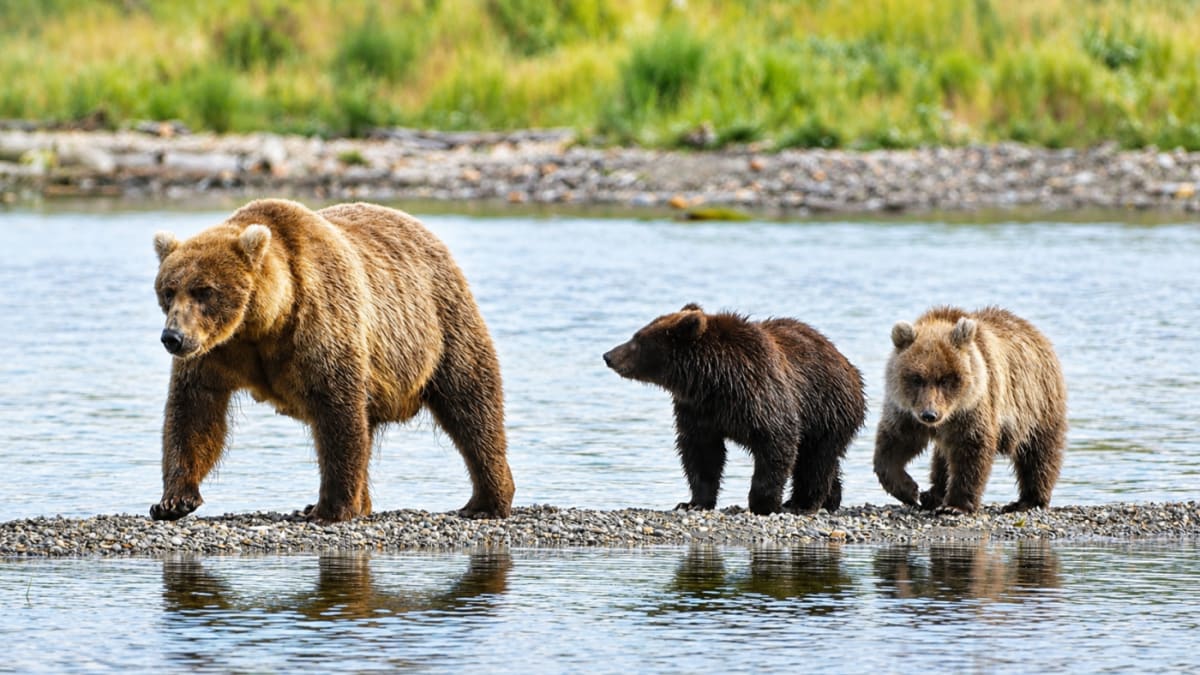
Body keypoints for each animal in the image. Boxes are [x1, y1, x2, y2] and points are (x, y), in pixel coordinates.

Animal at [150, 198, 514, 523]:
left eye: (204, 290)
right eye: (168, 290)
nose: (172, 337)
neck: (264, 323)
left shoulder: (320, 323)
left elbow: (337, 412)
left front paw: (331, 509)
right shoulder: (215, 353)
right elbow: (194, 412)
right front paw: (173, 501)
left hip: (439, 323)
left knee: (470, 403)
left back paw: (485, 501)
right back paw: (360, 503)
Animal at [603, 304, 866, 515]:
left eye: (637, 340)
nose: (608, 355)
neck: (712, 380)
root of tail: (846, 362)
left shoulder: (761, 394)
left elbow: (776, 442)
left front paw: (763, 504)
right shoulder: (697, 410)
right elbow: (701, 453)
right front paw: (693, 503)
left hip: (826, 408)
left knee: (816, 460)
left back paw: (803, 503)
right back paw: (829, 499)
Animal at [873, 306, 1067, 514]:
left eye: (946, 379)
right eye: (916, 378)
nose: (930, 415)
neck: (949, 415)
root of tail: (1034, 331)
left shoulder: (974, 407)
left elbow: (971, 449)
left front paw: (955, 505)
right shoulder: (906, 412)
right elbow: (895, 444)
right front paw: (909, 491)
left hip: (1037, 402)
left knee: (1038, 452)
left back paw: (1028, 501)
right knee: (942, 457)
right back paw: (932, 494)